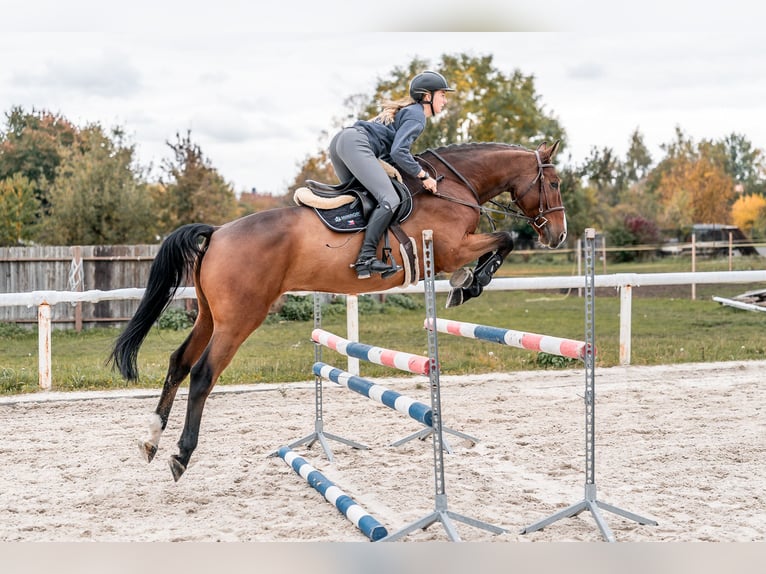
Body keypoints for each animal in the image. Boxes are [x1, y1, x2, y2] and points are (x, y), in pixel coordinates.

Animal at [109, 140, 567, 482]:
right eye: (555, 182)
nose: (559, 236)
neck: (451, 185)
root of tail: (217, 232)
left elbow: (503, 239)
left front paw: (467, 284)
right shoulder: (452, 249)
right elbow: (506, 238)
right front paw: (469, 283)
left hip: (209, 317)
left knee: (178, 362)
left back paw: (152, 439)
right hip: (239, 320)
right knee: (203, 373)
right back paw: (181, 454)